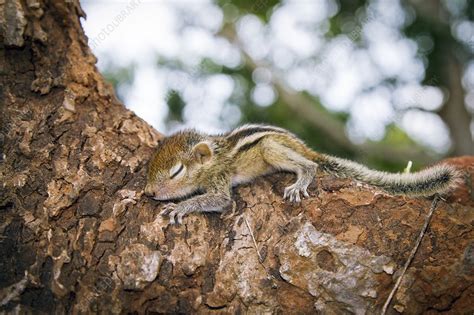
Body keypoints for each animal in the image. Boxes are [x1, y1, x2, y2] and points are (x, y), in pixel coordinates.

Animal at [143, 123, 460, 225]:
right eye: (150, 165)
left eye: (176, 171)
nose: (150, 192)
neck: (215, 157)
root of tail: (304, 147)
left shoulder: (220, 180)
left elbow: (219, 199)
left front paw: (180, 207)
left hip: (271, 148)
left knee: (311, 166)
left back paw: (300, 181)